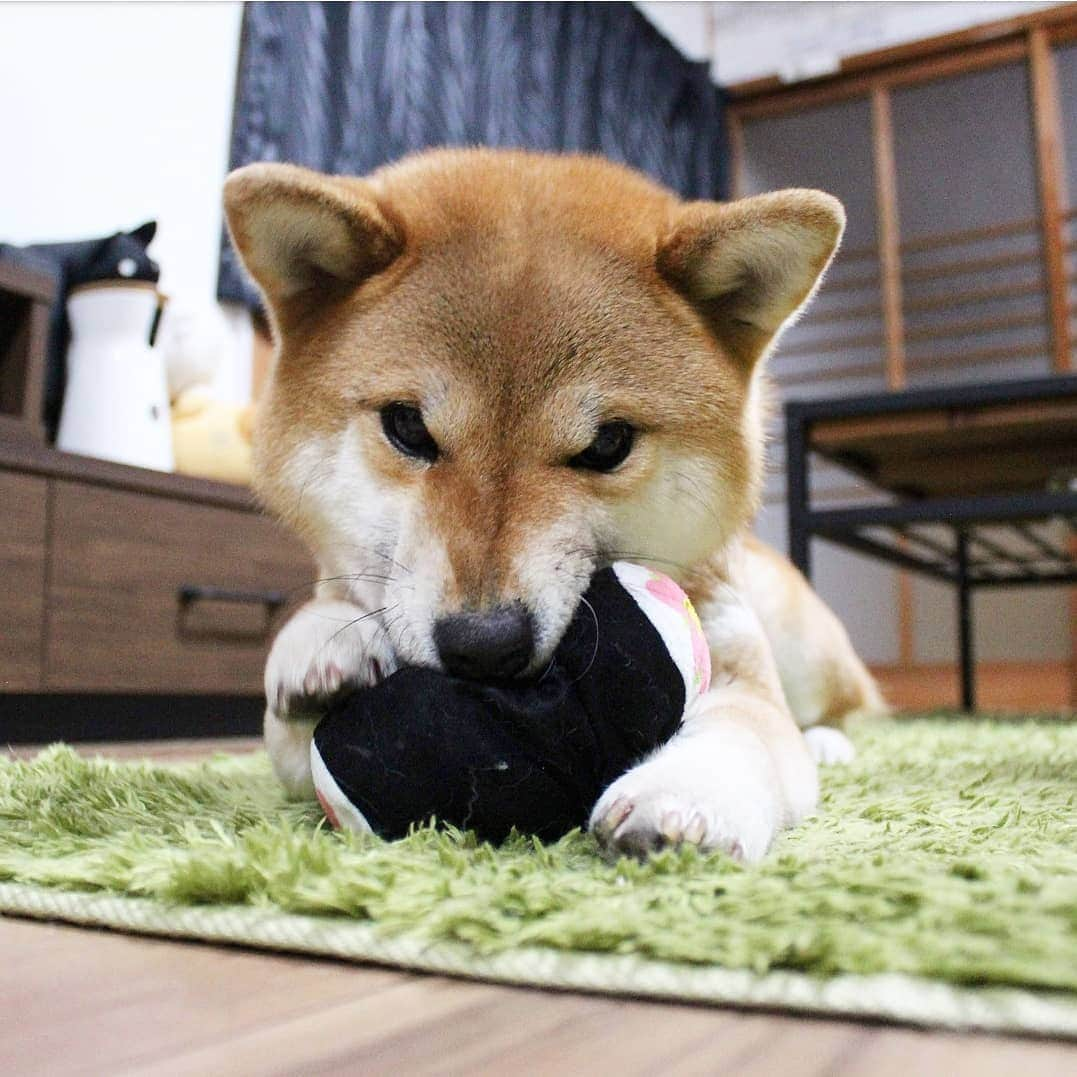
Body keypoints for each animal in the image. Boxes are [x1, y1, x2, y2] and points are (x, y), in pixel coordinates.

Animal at [220, 149, 883, 865]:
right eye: (408, 427)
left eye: (609, 443)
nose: (483, 646)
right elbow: (296, 715)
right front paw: (320, 640)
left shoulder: (739, 658)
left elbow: (747, 733)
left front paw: (684, 798)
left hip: (801, 643)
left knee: (849, 707)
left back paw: (831, 742)